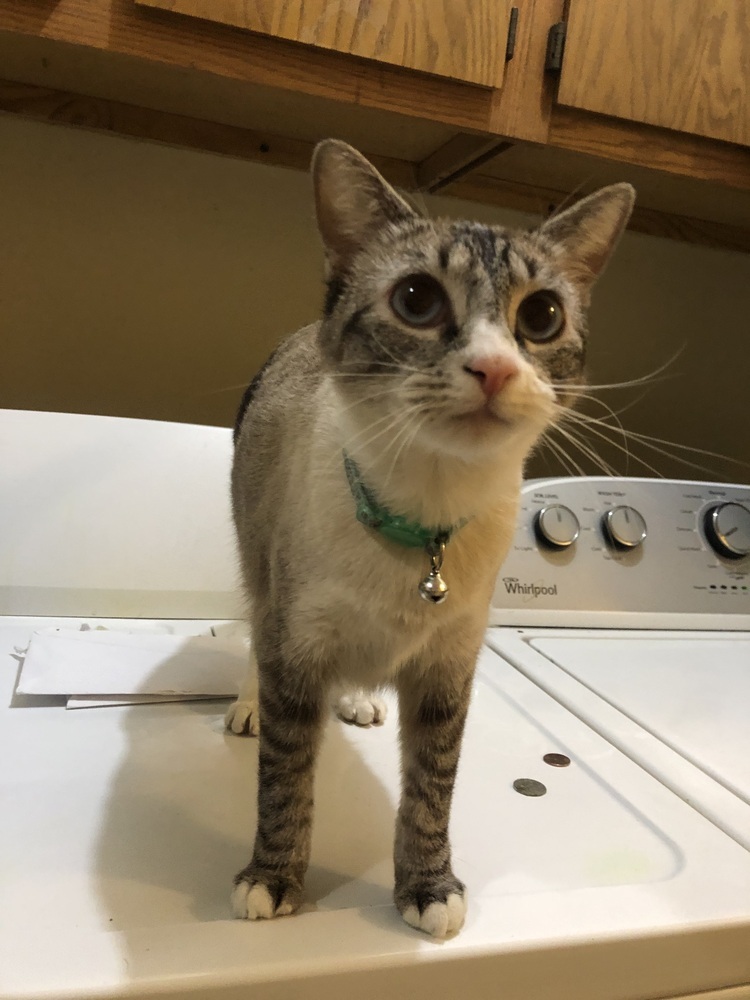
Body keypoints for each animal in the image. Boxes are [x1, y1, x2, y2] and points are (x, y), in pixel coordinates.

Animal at [229, 141, 636, 936]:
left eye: (541, 315)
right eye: (416, 300)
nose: (496, 366)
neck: (426, 528)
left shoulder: (448, 673)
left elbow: (430, 792)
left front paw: (428, 887)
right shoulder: (296, 648)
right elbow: (285, 780)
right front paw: (273, 880)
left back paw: (357, 703)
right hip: (256, 568)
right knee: (251, 633)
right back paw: (250, 705)